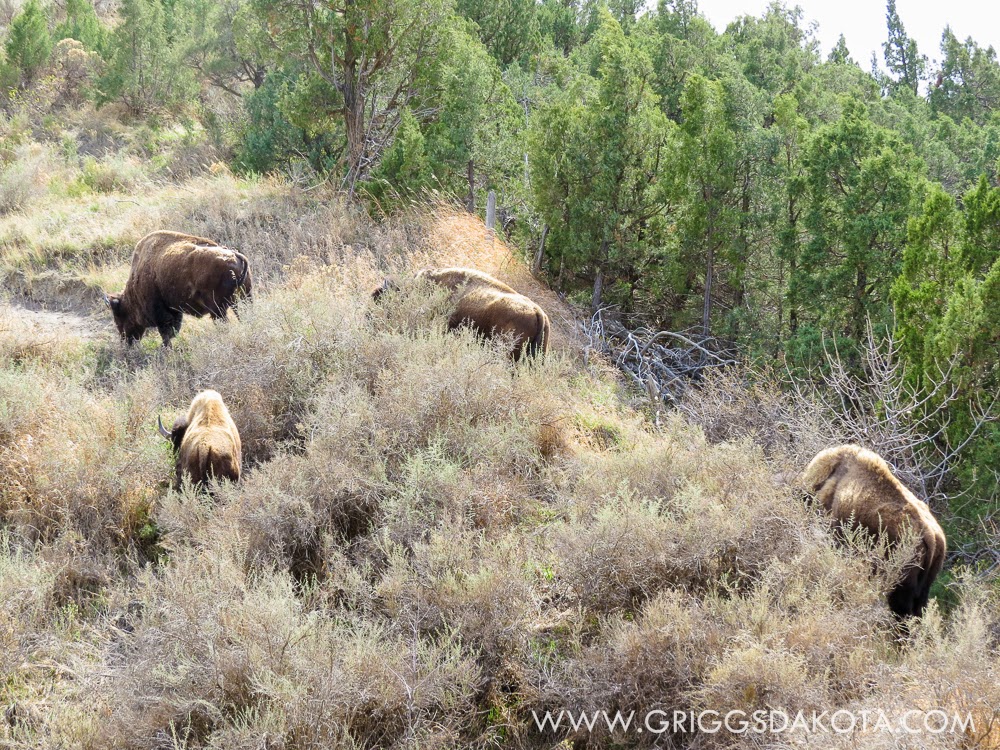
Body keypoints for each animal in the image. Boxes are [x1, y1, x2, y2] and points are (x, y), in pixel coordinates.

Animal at [104, 230, 252, 346]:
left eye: (119, 315)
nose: (126, 341)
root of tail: (236, 256)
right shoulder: (174, 311)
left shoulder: (162, 315)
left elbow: (166, 334)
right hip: (245, 297)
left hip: (218, 309)